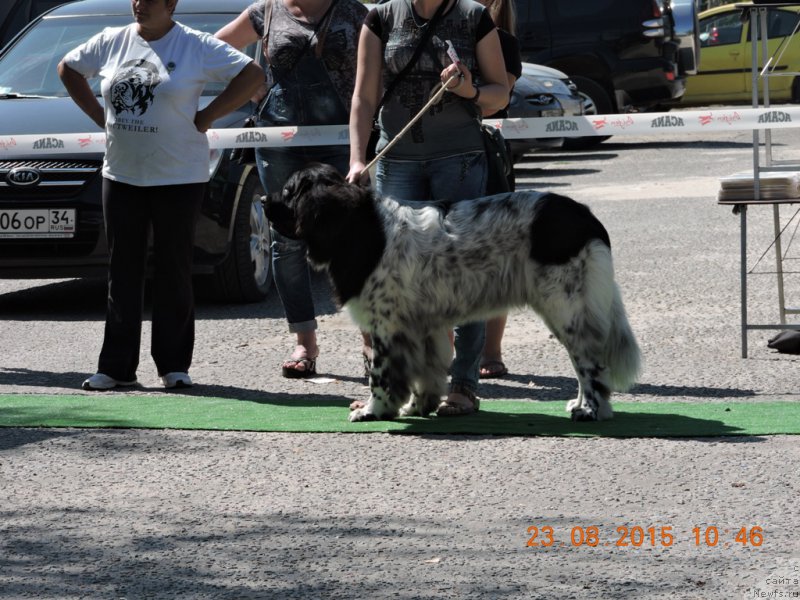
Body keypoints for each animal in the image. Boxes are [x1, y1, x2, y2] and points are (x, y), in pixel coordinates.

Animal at [266, 162, 640, 420]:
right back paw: (580, 404)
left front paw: (374, 410)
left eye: (287, 192)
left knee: (588, 364)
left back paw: (591, 410)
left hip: (567, 308)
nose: (262, 198)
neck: (356, 227)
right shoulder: (420, 327)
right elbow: (427, 372)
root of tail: (586, 218)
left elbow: (381, 375)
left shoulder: (388, 326)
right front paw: (417, 407)